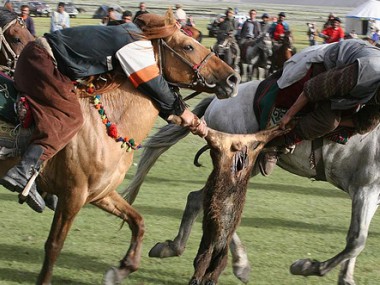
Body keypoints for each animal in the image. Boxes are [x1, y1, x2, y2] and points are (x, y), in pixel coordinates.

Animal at [0, 8, 239, 284]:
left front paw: (121, 269)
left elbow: (138, 221)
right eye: (188, 46)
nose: (233, 78)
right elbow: (54, 246)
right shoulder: (73, 196)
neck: (106, 124)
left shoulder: (100, 194)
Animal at [123, 80, 378, 284]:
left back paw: (173, 247)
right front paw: (307, 266)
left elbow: (357, 240)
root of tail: (217, 102)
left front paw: (345, 278)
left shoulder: (370, 194)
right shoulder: (365, 189)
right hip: (241, 164)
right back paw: (240, 264)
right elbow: (357, 241)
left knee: (197, 199)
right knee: (217, 209)